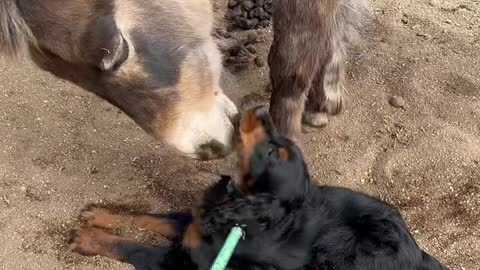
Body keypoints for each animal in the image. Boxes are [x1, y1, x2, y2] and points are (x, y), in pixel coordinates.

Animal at [66, 106, 446, 268]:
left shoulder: (187, 263)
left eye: (276, 153)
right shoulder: (198, 221)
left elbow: (135, 247)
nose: (262, 110)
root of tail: (419, 255)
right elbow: (150, 218)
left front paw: (87, 238)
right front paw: (99, 215)